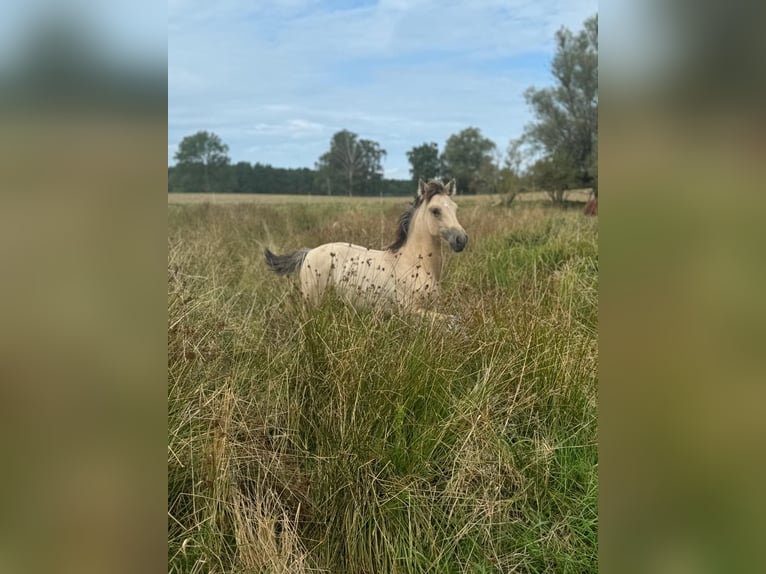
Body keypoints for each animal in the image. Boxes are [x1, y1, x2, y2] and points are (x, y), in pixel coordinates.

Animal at [264, 179, 468, 324]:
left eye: (455, 208)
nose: (461, 240)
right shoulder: (410, 310)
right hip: (312, 301)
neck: (414, 264)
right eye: (435, 210)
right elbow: (453, 322)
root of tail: (309, 252)